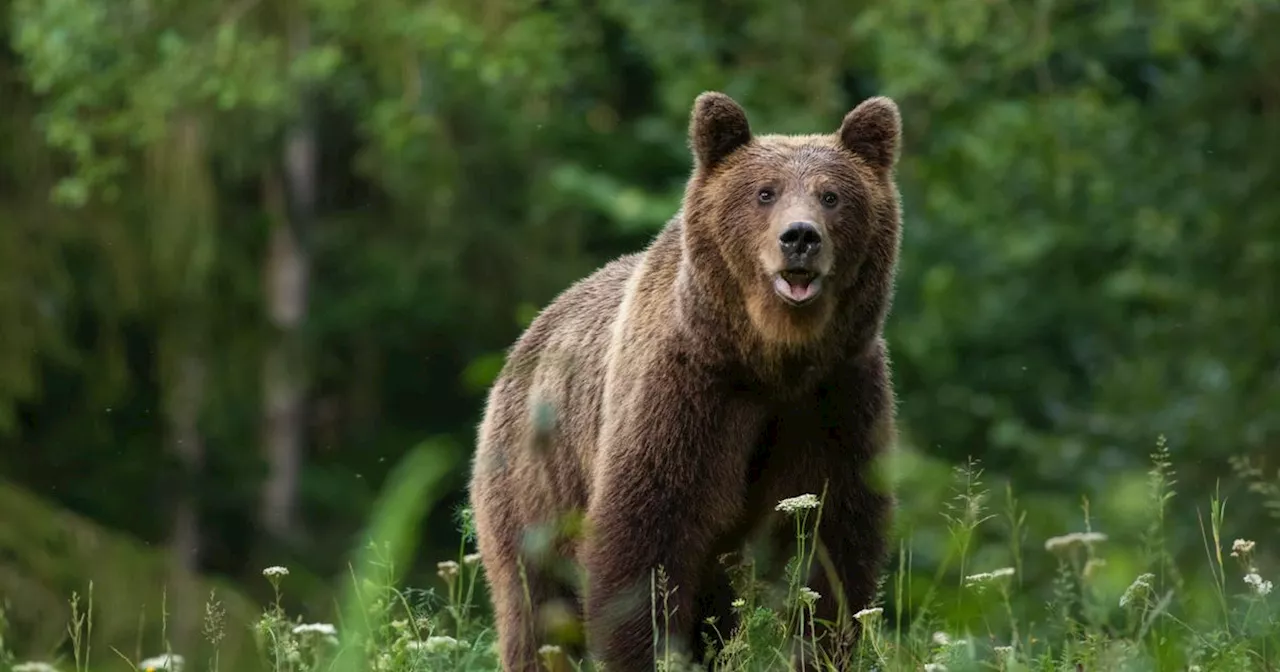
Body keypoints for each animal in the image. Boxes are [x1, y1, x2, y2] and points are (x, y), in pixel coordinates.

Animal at [468, 90, 901, 670]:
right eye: (764, 192)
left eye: (831, 196)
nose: (800, 238)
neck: (770, 359)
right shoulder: (686, 392)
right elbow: (647, 537)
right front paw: (649, 651)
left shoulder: (834, 398)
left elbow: (832, 540)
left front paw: (822, 647)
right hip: (533, 479)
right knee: (536, 604)